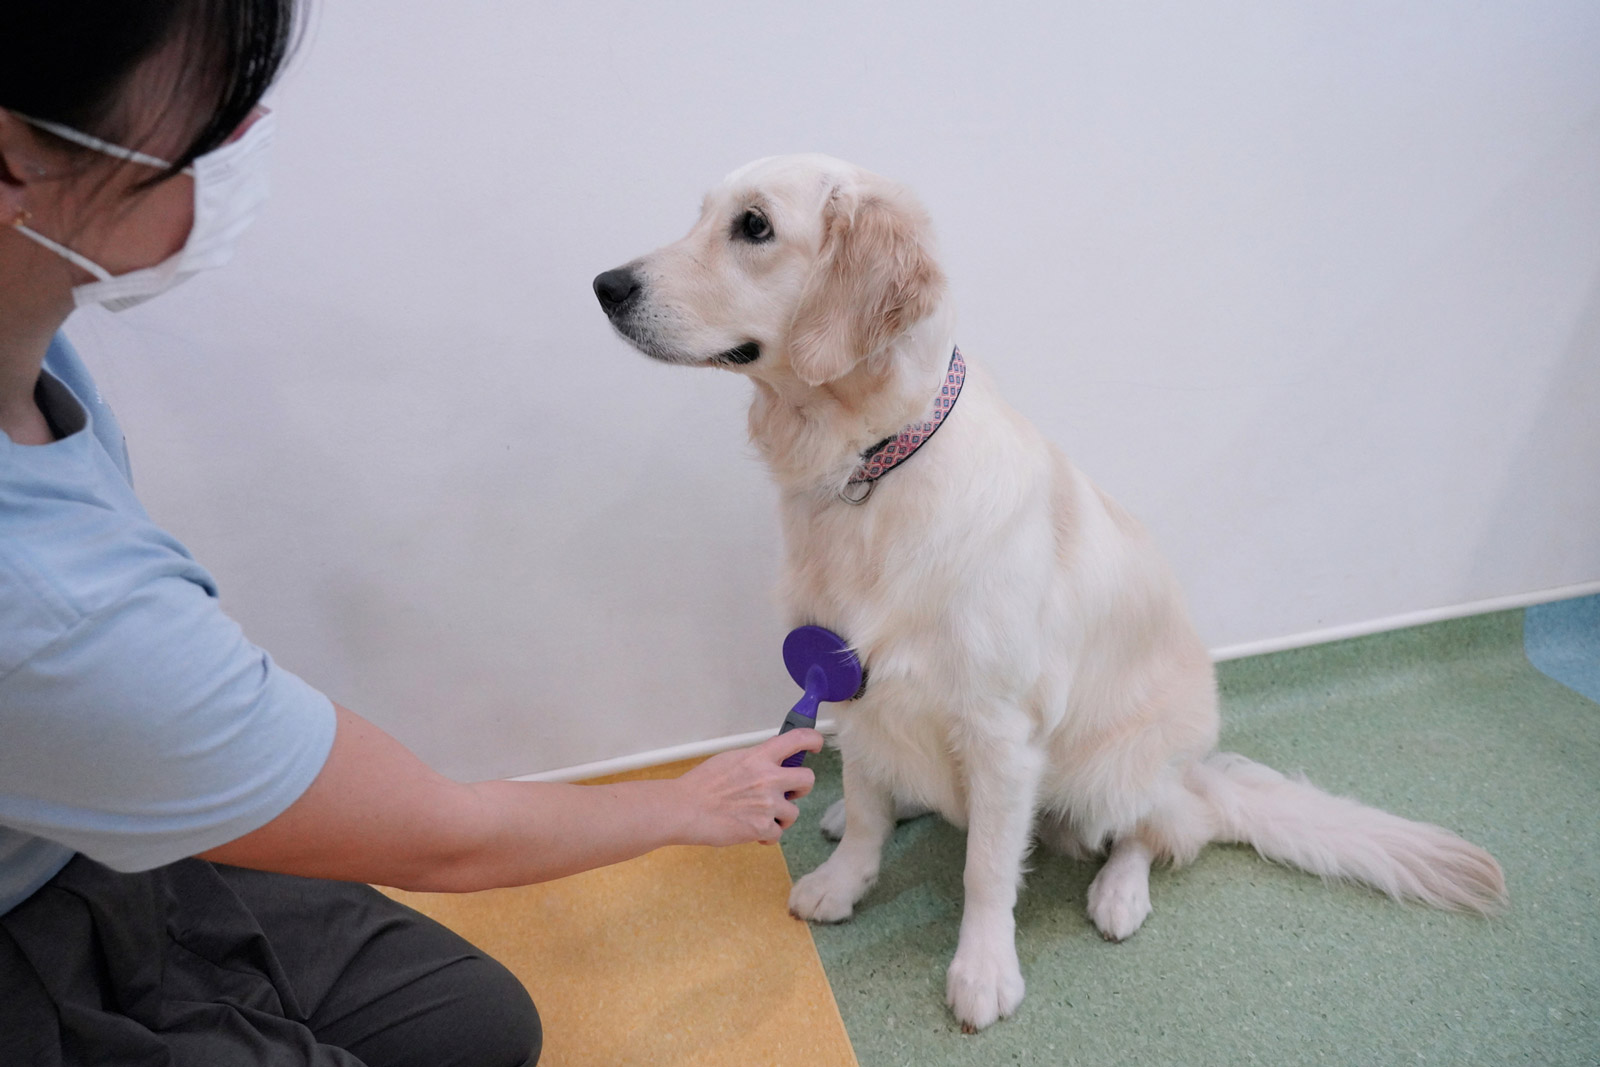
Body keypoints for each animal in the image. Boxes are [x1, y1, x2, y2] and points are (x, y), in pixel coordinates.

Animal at [595, 156, 1504, 1036]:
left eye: (754, 226)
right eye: (701, 213)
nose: (605, 285)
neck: (868, 470)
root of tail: (1198, 768)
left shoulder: (1001, 729)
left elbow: (987, 869)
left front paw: (983, 969)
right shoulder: (848, 684)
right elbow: (864, 806)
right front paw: (843, 877)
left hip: (1119, 764)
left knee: (1167, 826)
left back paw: (1119, 891)